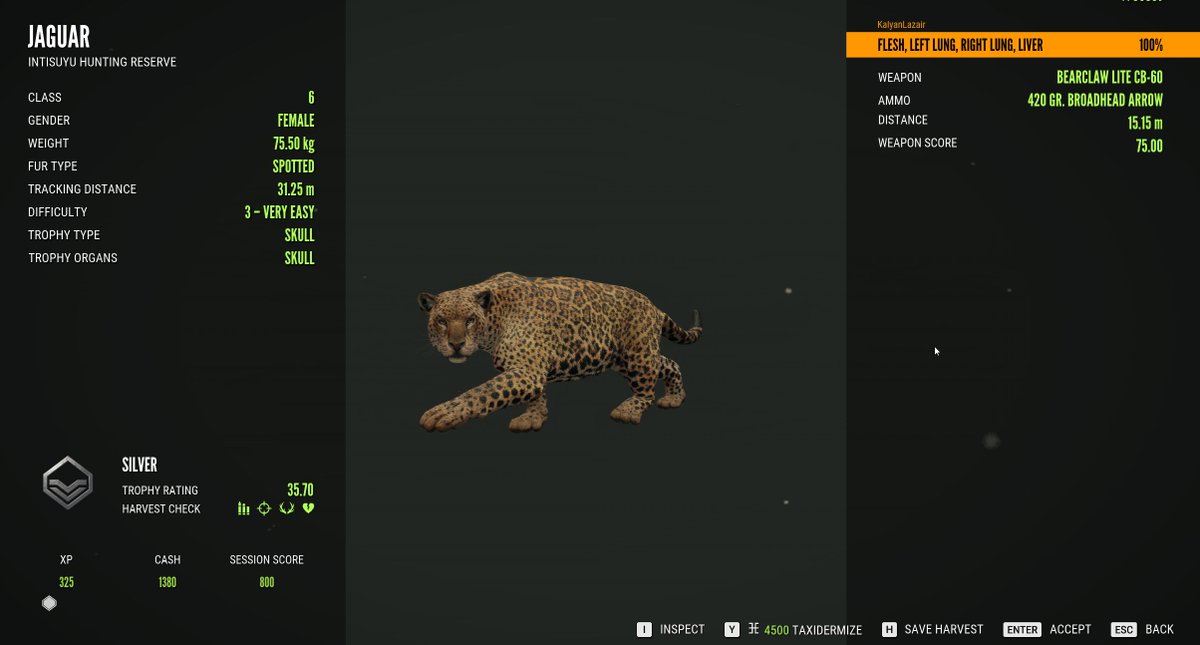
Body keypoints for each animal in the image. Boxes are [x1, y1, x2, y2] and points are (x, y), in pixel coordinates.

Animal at [416, 272, 702, 432]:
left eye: (470, 320)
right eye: (441, 320)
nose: (455, 344)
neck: (495, 317)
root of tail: (654, 306)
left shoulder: (527, 369)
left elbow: (482, 391)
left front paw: (444, 412)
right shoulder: (529, 369)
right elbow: (535, 394)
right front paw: (533, 417)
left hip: (637, 353)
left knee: (646, 388)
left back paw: (629, 411)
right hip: (626, 356)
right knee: (669, 363)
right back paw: (675, 397)